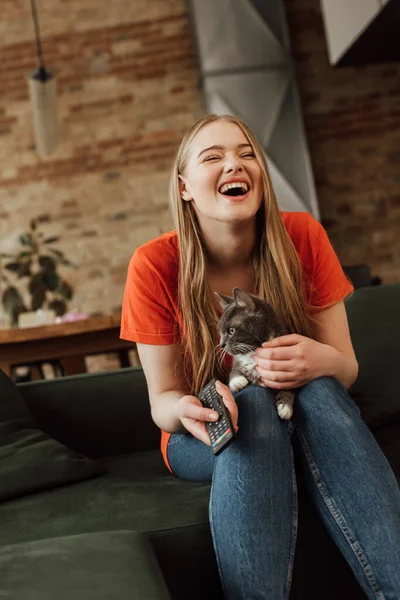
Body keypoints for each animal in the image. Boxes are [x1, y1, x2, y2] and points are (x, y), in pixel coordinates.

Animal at [216, 288, 296, 420]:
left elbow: (289, 388)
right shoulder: (237, 359)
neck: (254, 351)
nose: (221, 344)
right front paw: (237, 380)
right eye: (220, 332)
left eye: (231, 330)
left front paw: (285, 407)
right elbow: (234, 368)